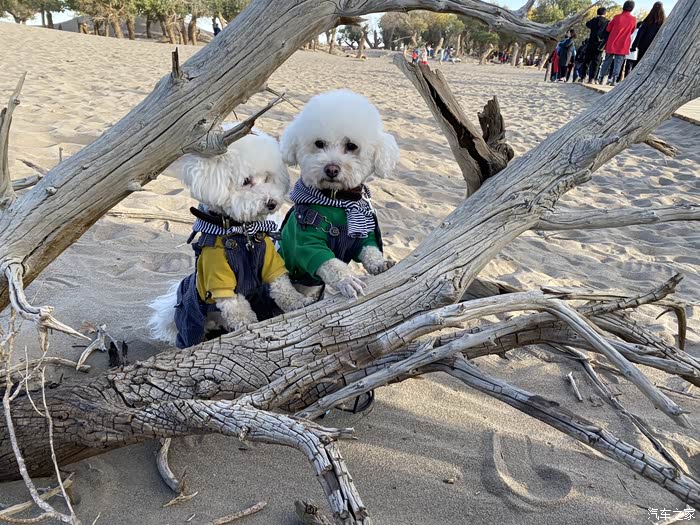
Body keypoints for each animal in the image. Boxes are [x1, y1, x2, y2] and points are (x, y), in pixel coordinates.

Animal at [148, 125, 312, 348]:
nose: (272, 203)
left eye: (267, 177)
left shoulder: (271, 261)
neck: (242, 232)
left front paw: (297, 302)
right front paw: (247, 326)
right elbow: (236, 307)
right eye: (246, 181)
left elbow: (282, 285)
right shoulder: (219, 277)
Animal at [278, 90, 400, 299]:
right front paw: (347, 280)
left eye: (351, 146)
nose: (331, 169)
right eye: (319, 143)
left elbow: (371, 250)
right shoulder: (306, 241)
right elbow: (331, 263)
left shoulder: (365, 236)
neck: (339, 202)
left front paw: (380, 263)